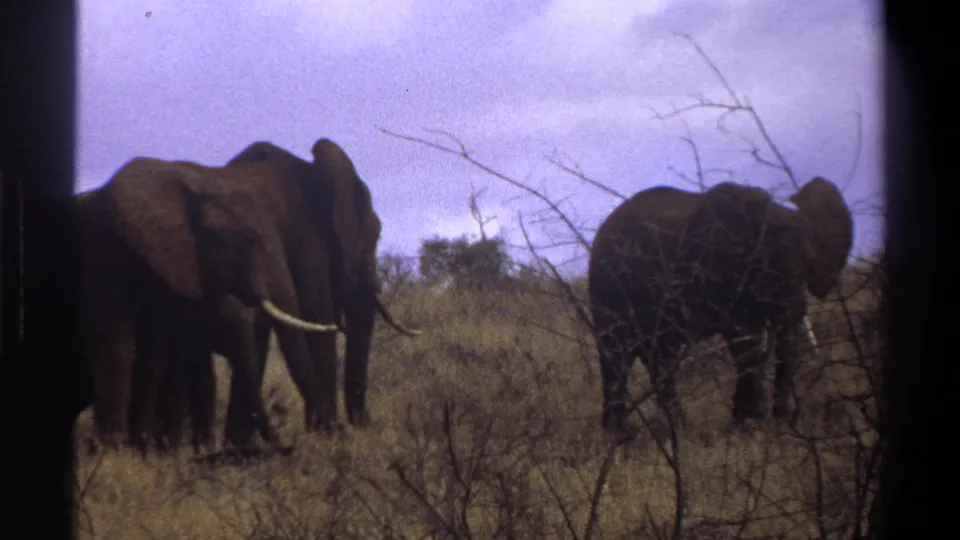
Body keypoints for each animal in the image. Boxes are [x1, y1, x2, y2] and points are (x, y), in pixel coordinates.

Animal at [76, 159, 340, 454]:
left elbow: (156, 355)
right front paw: (114, 454)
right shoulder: (105, 253)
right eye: (250, 239)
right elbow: (118, 347)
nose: (290, 444)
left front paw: (148, 452)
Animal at [587, 177, 854, 439]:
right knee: (617, 355)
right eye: (765, 266)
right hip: (610, 291)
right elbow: (745, 342)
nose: (785, 420)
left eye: (807, 266)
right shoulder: (724, 277)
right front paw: (750, 426)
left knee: (658, 358)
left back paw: (674, 430)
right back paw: (623, 437)